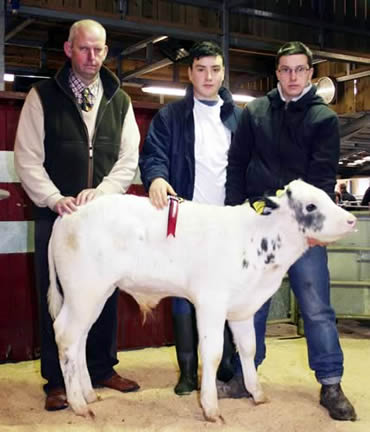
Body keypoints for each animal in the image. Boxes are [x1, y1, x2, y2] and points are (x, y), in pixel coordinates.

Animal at [46, 179, 356, 422]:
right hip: (84, 289)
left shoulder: (242, 308)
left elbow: (248, 349)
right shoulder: (210, 302)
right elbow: (213, 353)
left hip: (94, 295)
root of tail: (69, 211)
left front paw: (257, 395)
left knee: (79, 339)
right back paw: (78, 404)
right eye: (311, 206)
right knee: (65, 335)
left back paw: (89, 395)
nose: (351, 220)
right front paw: (211, 408)